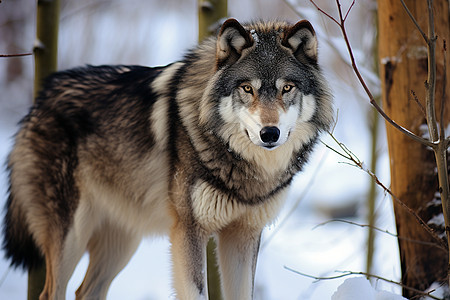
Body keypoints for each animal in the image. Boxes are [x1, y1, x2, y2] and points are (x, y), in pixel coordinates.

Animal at [1, 19, 332, 300]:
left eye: (286, 88)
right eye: (247, 88)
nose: (269, 133)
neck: (249, 170)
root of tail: (40, 99)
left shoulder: (244, 235)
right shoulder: (188, 231)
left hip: (122, 241)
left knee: (85, 291)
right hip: (72, 236)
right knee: (51, 293)